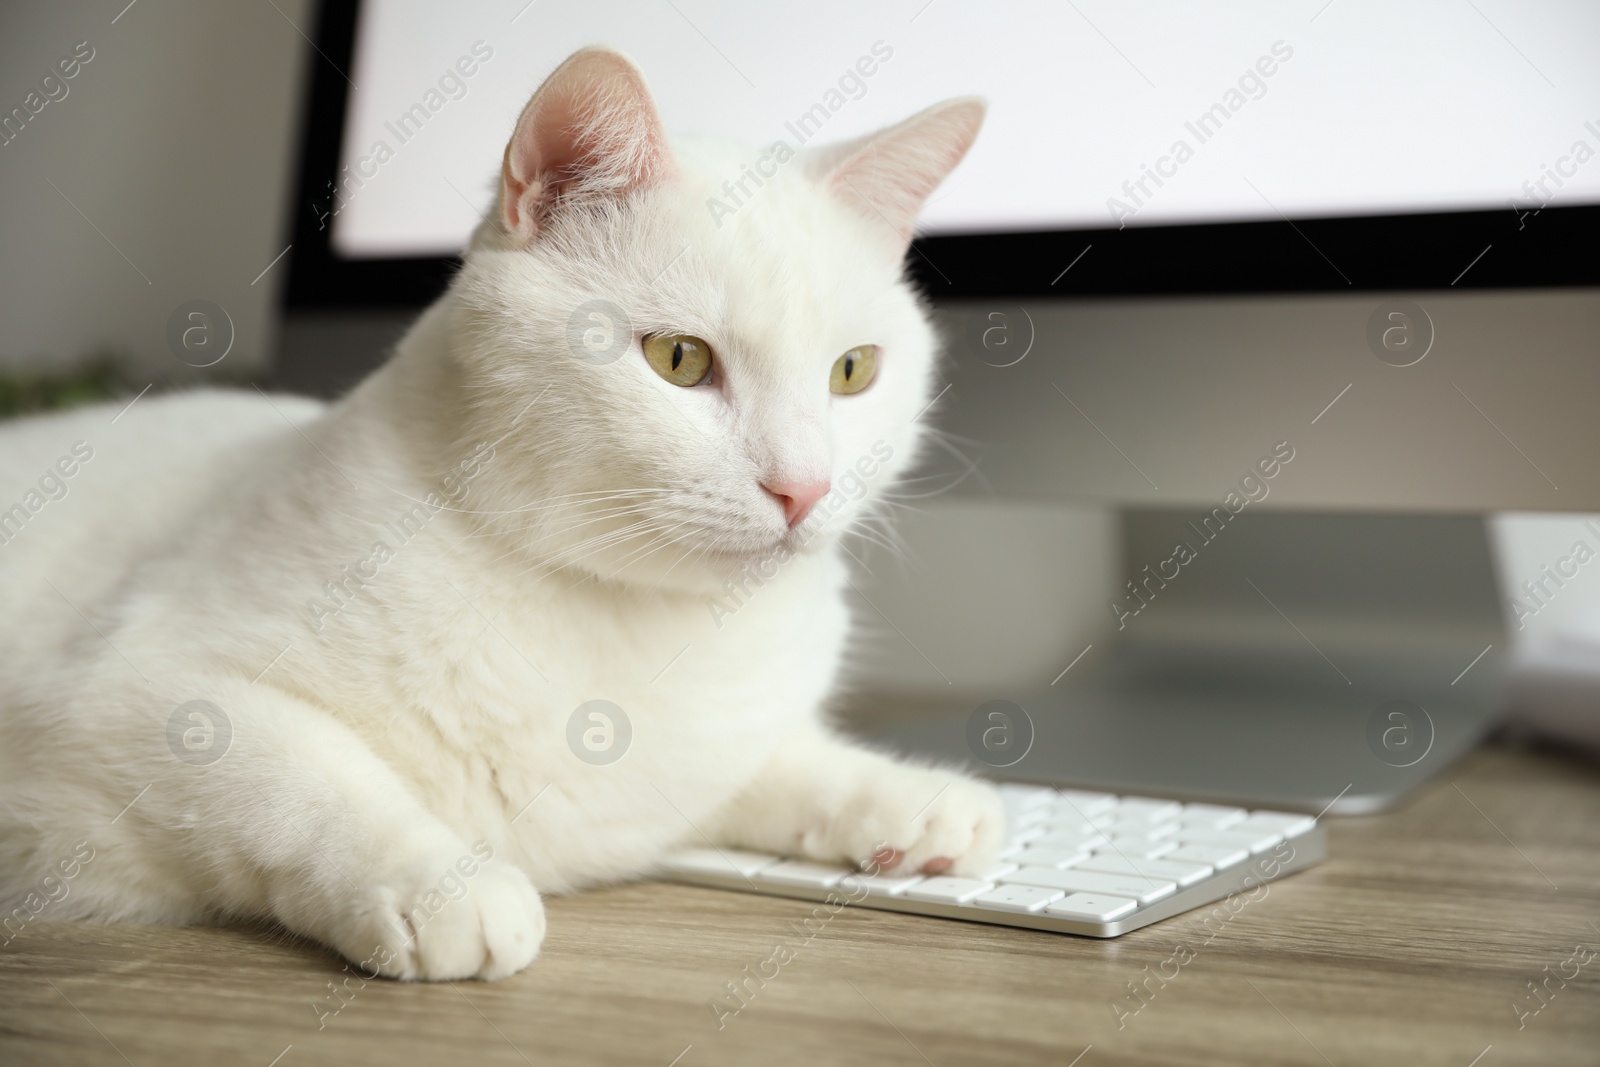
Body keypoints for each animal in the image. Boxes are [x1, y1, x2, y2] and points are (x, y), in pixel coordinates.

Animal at [0, 49, 998, 985]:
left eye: (854, 371)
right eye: (678, 359)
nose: (804, 487)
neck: (629, 617)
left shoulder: (705, 765)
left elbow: (785, 765)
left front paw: (908, 796)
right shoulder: (137, 690)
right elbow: (300, 778)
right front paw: (438, 884)